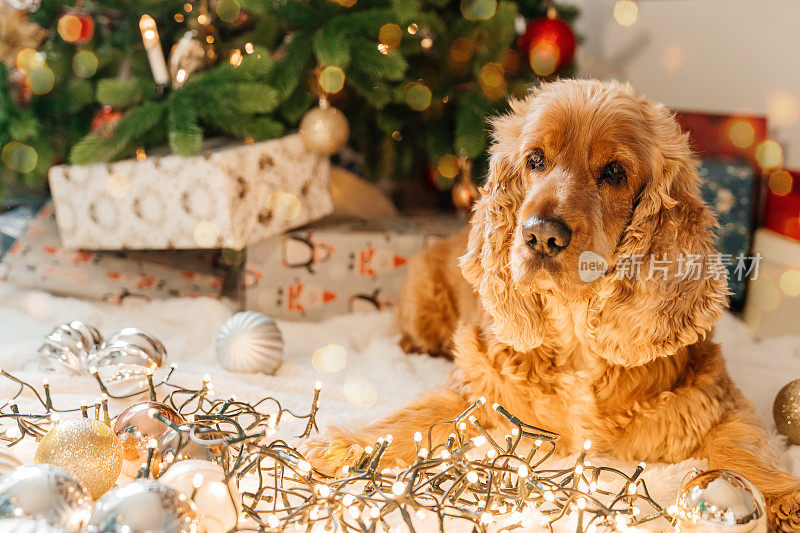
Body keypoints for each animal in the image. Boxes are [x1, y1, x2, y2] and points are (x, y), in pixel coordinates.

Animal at [300, 80, 800, 532]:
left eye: (615, 172)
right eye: (535, 160)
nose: (541, 234)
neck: (577, 332)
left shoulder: (714, 400)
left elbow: (742, 449)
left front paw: (782, 502)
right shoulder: (477, 391)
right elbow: (416, 419)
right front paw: (340, 452)